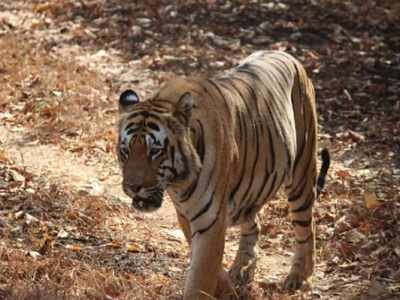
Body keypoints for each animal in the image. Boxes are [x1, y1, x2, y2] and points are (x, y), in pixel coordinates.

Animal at [116, 50, 332, 298]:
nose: (133, 187)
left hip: (301, 173)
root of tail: (287, 54)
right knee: (253, 224)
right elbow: (209, 265)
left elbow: (201, 275)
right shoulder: (187, 216)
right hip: (250, 191)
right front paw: (227, 289)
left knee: (307, 228)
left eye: (155, 151)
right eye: (126, 151)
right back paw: (242, 269)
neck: (178, 183)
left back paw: (299, 277)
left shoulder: (210, 219)